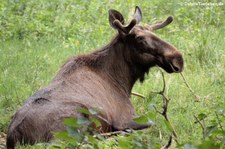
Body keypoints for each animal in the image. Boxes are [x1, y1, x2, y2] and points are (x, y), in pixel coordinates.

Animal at [6, 6, 183, 149]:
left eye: (153, 32)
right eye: (140, 39)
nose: (178, 59)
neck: (123, 80)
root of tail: (14, 135)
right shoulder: (125, 119)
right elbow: (153, 124)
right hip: (71, 126)